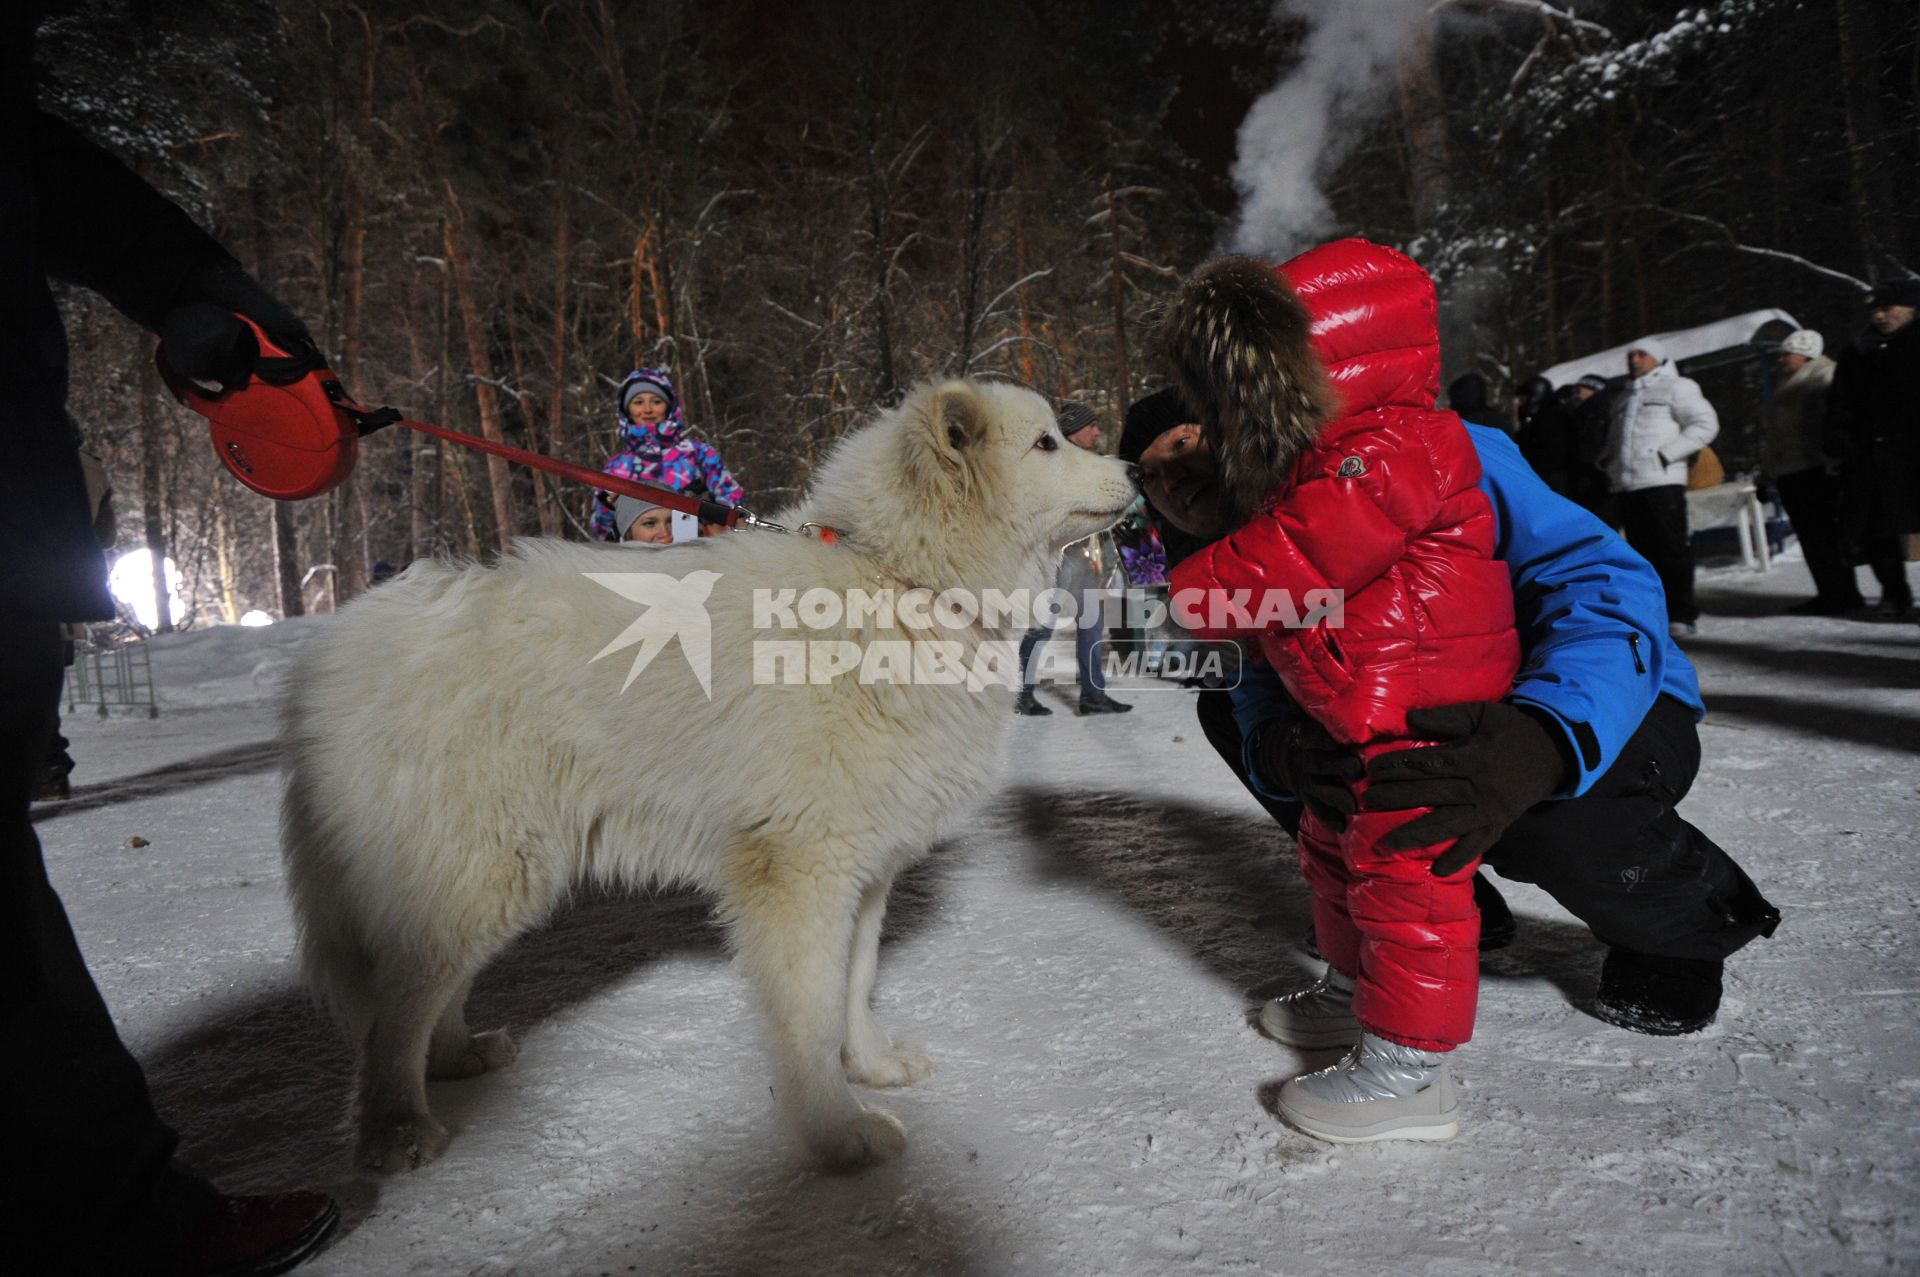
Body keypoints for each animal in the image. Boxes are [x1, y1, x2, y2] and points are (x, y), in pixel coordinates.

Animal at [278, 376, 1128, 1167]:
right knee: (393, 1013)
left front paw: (871, 1066)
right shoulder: (799, 872)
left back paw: (457, 1059)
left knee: (431, 993)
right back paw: (396, 1129)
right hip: (479, 870)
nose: (1130, 470)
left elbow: (854, 986)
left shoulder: (865, 871)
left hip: (497, 875)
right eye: (1047, 443)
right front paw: (837, 1132)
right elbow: (810, 1013)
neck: (899, 580)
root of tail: (347, 641)